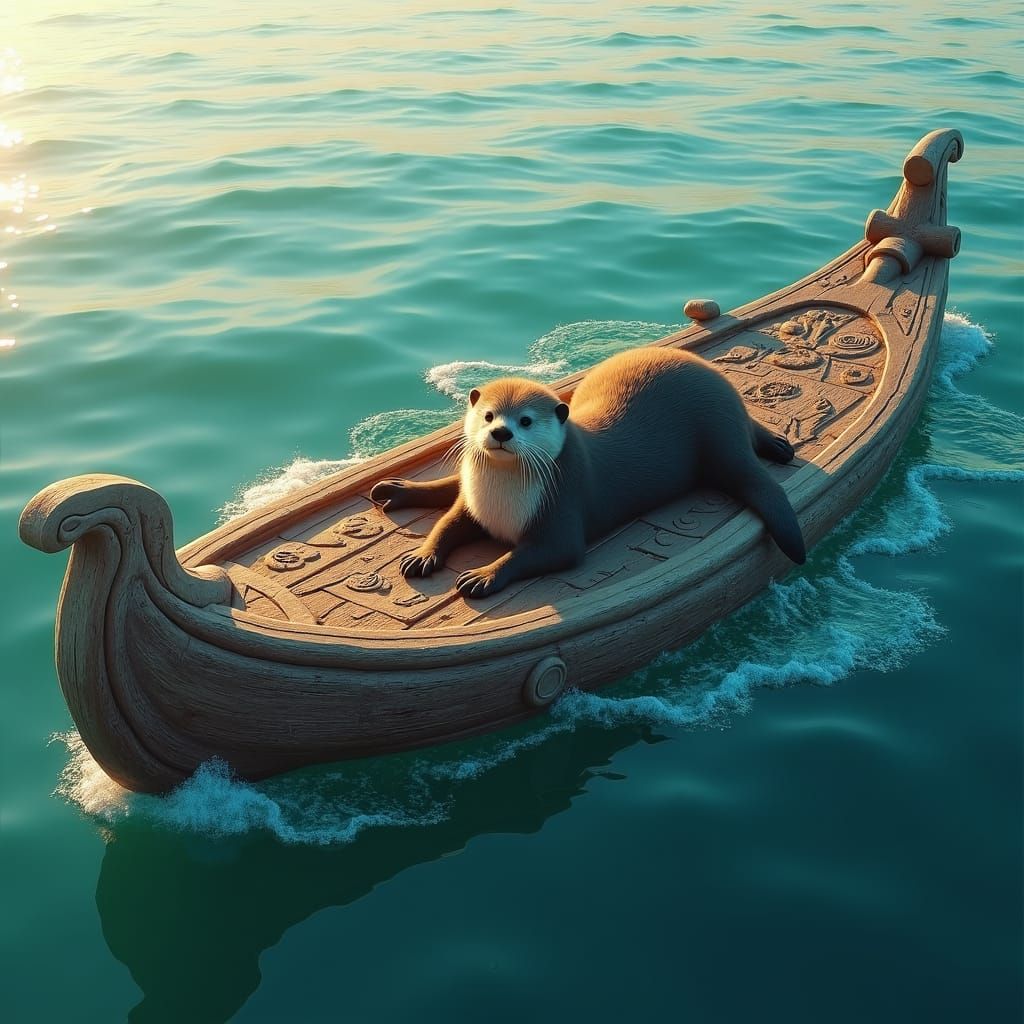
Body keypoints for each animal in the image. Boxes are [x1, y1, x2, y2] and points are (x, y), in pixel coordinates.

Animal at [370, 347, 806, 598]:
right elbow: (447, 523)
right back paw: (394, 490)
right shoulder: (473, 503)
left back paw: (778, 451)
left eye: (525, 420)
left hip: (720, 435)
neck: (499, 499)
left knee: (750, 467)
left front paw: (483, 575)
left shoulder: (561, 510)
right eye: (489, 414)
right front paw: (422, 555)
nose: (500, 432)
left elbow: (543, 552)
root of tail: (712, 372)